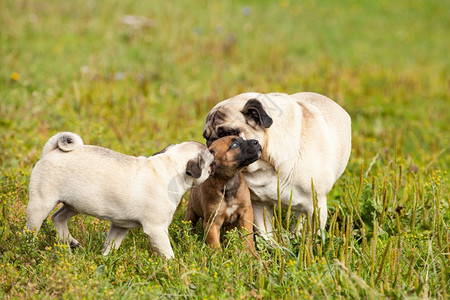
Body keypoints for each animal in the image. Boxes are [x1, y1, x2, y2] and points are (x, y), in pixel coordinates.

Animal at [26, 132, 214, 258]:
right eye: (211, 163)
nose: (215, 164)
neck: (172, 168)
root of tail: (51, 151)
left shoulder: (120, 226)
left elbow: (111, 245)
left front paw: (106, 260)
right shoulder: (157, 229)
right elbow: (167, 253)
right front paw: (174, 266)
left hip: (75, 204)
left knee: (58, 217)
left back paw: (70, 241)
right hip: (41, 203)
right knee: (31, 229)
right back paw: (27, 247)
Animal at [202, 91, 354, 237]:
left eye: (230, 133)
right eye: (206, 137)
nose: (212, 143)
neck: (265, 165)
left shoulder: (316, 206)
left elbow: (313, 236)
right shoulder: (259, 204)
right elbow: (265, 235)